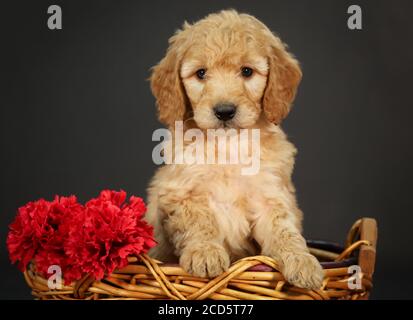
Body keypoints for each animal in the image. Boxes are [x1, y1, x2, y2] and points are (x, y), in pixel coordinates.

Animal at [146, 10, 324, 290]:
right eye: (200, 73)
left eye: (247, 71)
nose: (224, 111)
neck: (228, 145)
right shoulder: (182, 193)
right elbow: (199, 221)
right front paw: (205, 252)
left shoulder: (270, 196)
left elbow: (285, 229)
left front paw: (302, 260)